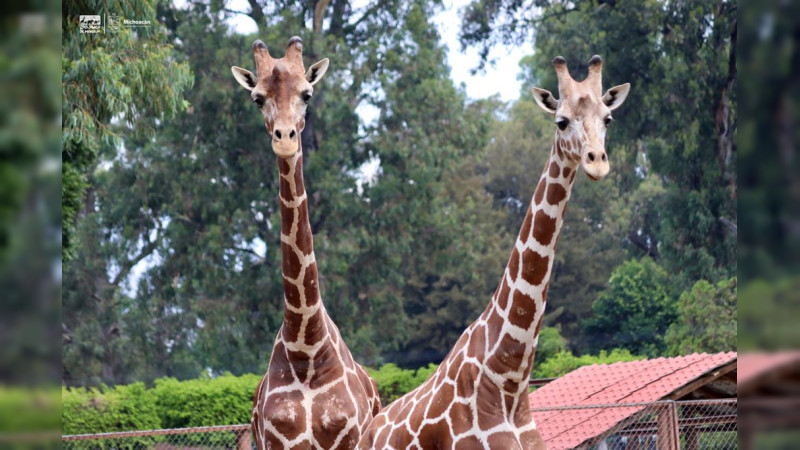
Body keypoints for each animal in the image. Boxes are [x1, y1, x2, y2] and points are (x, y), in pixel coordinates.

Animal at [231, 36, 382, 450]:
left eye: (307, 94)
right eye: (257, 98)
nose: (284, 139)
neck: (306, 348)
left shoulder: (349, 439)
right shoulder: (276, 441)